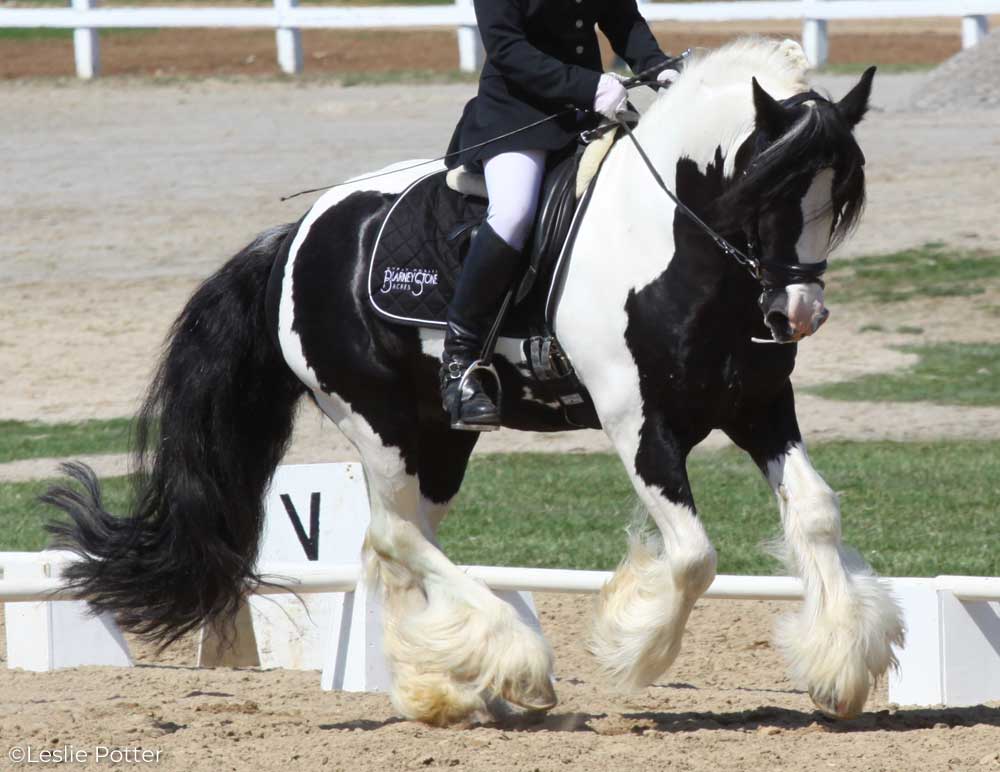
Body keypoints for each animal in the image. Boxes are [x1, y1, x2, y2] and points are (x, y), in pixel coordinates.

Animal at [45, 36, 908, 724]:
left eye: (840, 197)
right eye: (770, 189)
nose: (797, 312)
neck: (673, 245)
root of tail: (297, 235)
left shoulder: (759, 406)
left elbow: (816, 513)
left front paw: (840, 668)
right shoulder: (639, 423)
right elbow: (693, 556)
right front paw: (631, 649)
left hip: (439, 435)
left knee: (394, 543)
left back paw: (439, 688)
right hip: (382, 424)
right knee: (395, 536)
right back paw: (515, 668)